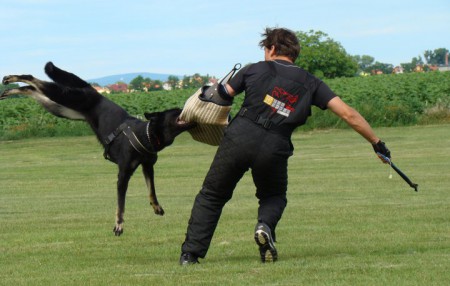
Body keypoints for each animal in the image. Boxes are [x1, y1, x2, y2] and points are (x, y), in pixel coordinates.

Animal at [1, 62, 195, 235]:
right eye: (177, 111)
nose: (188, 105)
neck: (146, 135)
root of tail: (93, 91)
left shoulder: (148, 167)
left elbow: (151, 190)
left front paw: (156, 207)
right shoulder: (123, 174)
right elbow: (121, 204)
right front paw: (118, 225)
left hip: (62, 108)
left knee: (31, 89)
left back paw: (9, 90)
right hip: (66, 97)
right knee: (33, 80)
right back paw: (11, 79)